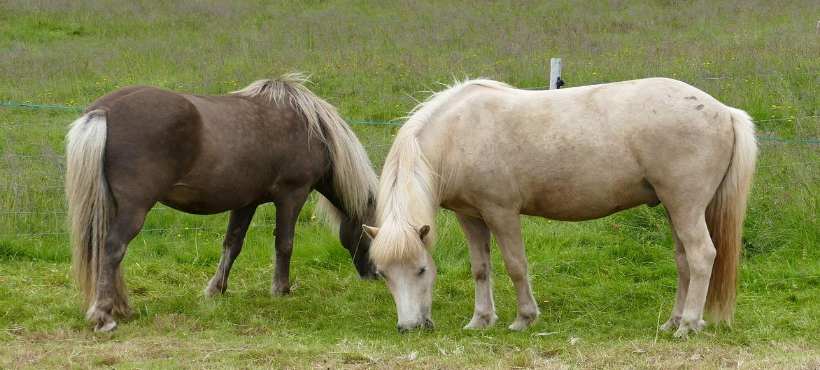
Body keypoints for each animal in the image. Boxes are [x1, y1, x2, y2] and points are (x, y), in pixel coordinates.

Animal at [64, 73, 378, 330]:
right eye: (373, 234)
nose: (375, 276)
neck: (312, 129)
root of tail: (103, 111)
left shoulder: (246, 202)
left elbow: (232, 244)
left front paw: (215, 289)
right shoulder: (292, 195)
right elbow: (284, 244)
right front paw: (281, 290)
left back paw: (121, 308)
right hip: (134, 208)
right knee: (113, 248)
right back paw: (104, 316)